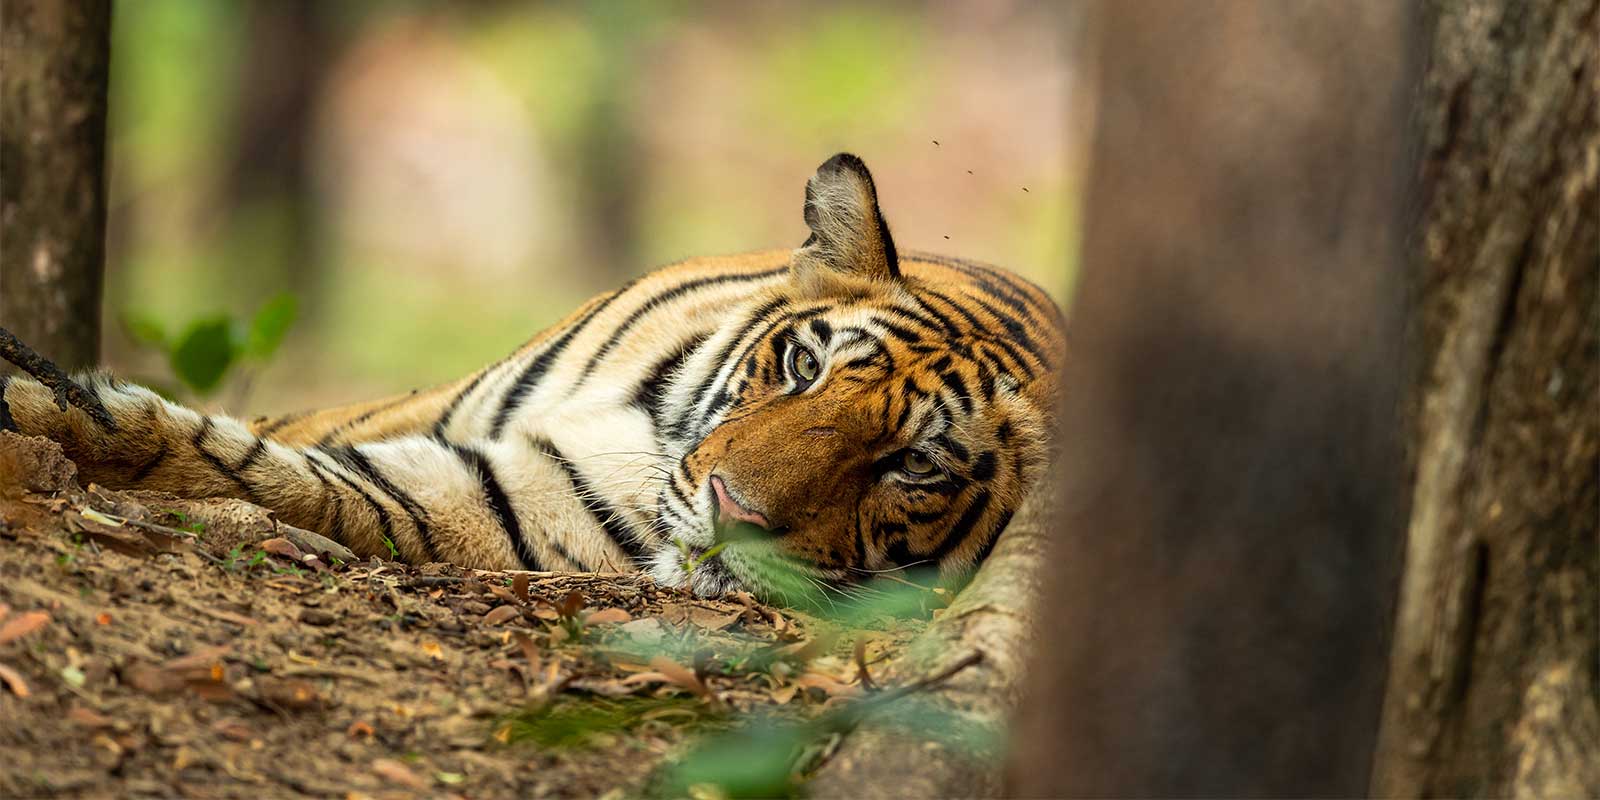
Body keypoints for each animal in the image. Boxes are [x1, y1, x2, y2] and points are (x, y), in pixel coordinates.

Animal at [0, 154, 1064, 603]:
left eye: (914, 467)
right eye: (804, 367)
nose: (733, 512)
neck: (651, 418)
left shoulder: (511, 504)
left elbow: (292, 480)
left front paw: (62, 417)